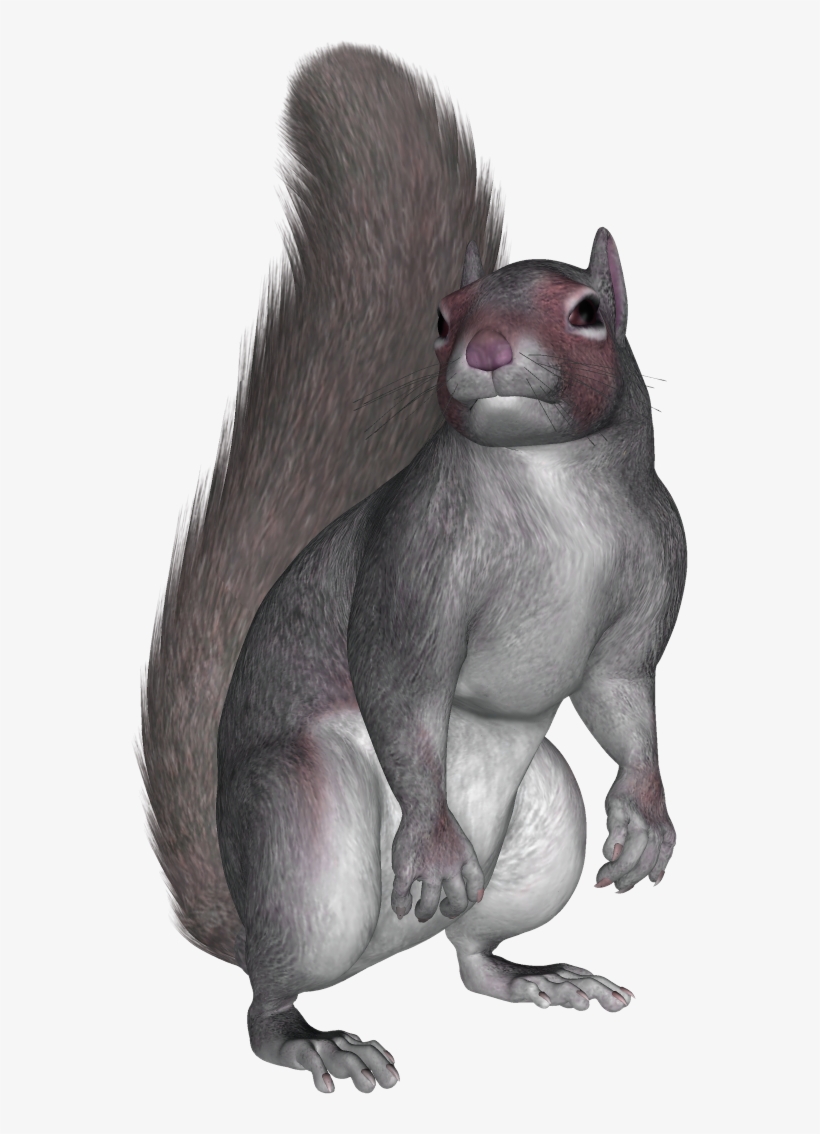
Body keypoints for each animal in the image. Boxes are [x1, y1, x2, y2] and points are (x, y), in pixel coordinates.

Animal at [140, 44, 686, 1095]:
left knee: (470, 957)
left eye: (590, 311)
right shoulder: (412, 561)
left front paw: (647, 818)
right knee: (266, 1001)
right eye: (441, 316)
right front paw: (432, 845)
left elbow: (621, 690)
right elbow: (401, 680)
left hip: (541, 828)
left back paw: (531, 975)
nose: (487, 349)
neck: (548, 478)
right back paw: (314, 1035)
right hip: (302, 834)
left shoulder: (656, 564)